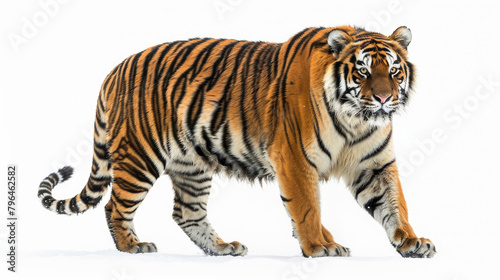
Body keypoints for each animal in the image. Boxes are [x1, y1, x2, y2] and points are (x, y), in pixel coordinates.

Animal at [39, 26, 436, 258]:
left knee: (186, 212)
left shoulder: (375, 165)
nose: (384, 98)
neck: (356, 119)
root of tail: (114, 69)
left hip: (192, 166)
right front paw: (320, 246)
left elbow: (395, 205)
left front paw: (412, 242)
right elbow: (307, 208)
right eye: (363, 71)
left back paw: (222, 248)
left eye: (394, 70)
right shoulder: (294, 159)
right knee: (114, 206)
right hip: (140, 157)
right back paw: (133, 246)